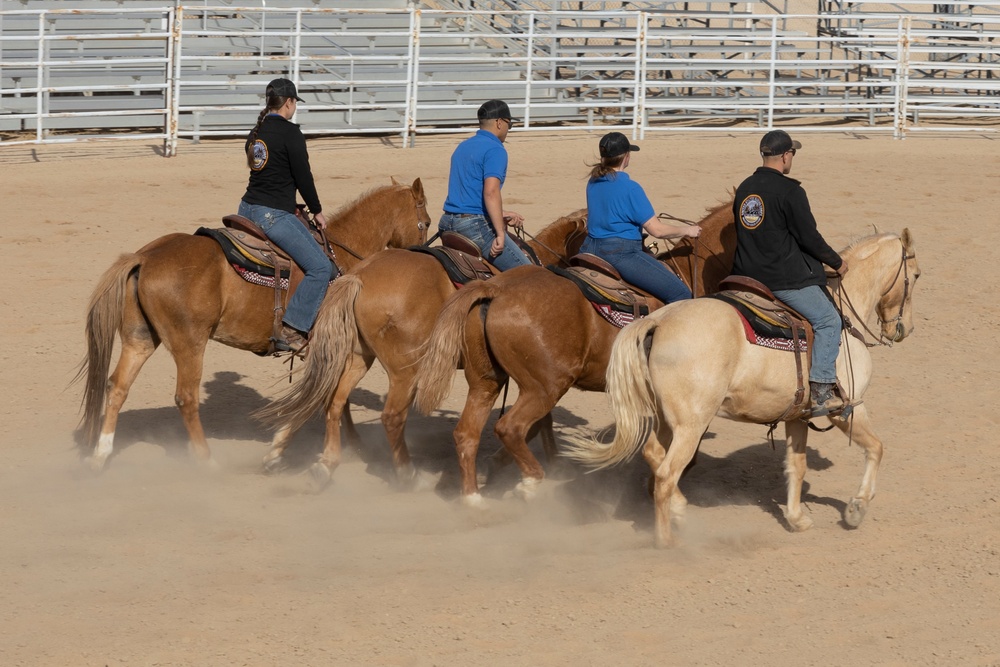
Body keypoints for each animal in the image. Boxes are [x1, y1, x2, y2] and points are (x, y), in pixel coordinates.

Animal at [77, 177, 434, 470]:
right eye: (427, 221)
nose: (419, 255)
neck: (340, 256)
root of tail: (144, 256)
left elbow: (333, 397)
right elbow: (327, 396)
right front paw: (285, 449)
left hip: (140, 337)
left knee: (118, 386)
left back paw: (99, 456)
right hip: (189, 342)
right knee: (186, 397)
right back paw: (206, 461)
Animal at [254, 206, 588, 488]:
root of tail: (359, 277)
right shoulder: (539, 375)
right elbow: (542, 419)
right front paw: (550, 464)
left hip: (359, 355)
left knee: (333, 400)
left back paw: (321, 463)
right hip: (405, 368)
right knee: (390, 417)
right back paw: (407, 474)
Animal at [408, 198, 736, 506]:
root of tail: (495, 290)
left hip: (487, 381)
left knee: (468, 433)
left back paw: (474, 498)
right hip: (545, 387)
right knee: (511, 427)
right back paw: (530, 483)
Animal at [568, 230, 916, 548]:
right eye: (915, 275)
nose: (904, 329)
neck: (845, 317)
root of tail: (659, 321)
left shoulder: (797, 417)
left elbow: (797, 465)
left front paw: (796, 518)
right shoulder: (848, 406)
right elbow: (876, 447)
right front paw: (856, 508)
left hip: (666, 418)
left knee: (653, 455)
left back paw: (679, 511)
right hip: (691, 425)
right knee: (666, 475)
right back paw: (668, 540)